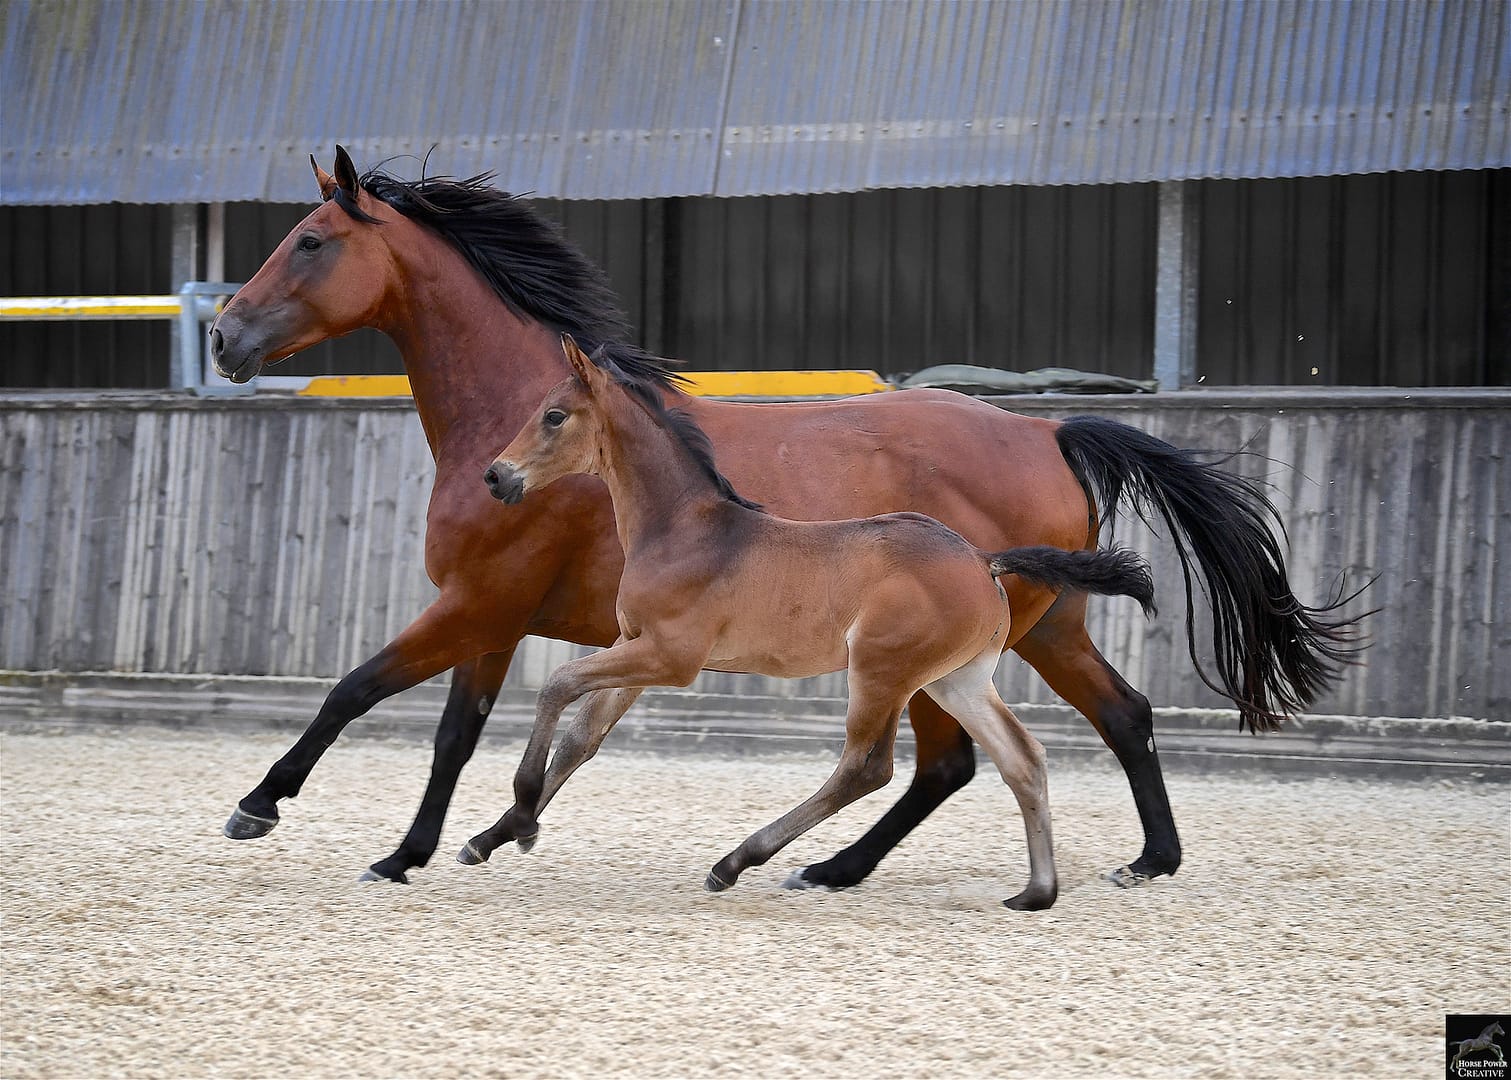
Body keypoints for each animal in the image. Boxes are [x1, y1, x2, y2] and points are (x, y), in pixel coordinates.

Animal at [456, 335, 1157, 908]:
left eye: (553, 415)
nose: (495, 476)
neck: (684, 529)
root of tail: (983, 559)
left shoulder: (668, 658)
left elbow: (558, 686)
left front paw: (521, 812)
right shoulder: (637, 650)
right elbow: (583, 735)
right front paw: (493, 836)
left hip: (880, 669)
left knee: (867, 767)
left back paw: (740, 862)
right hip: (955, 679)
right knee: (1023, 758)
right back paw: (1037, 892)